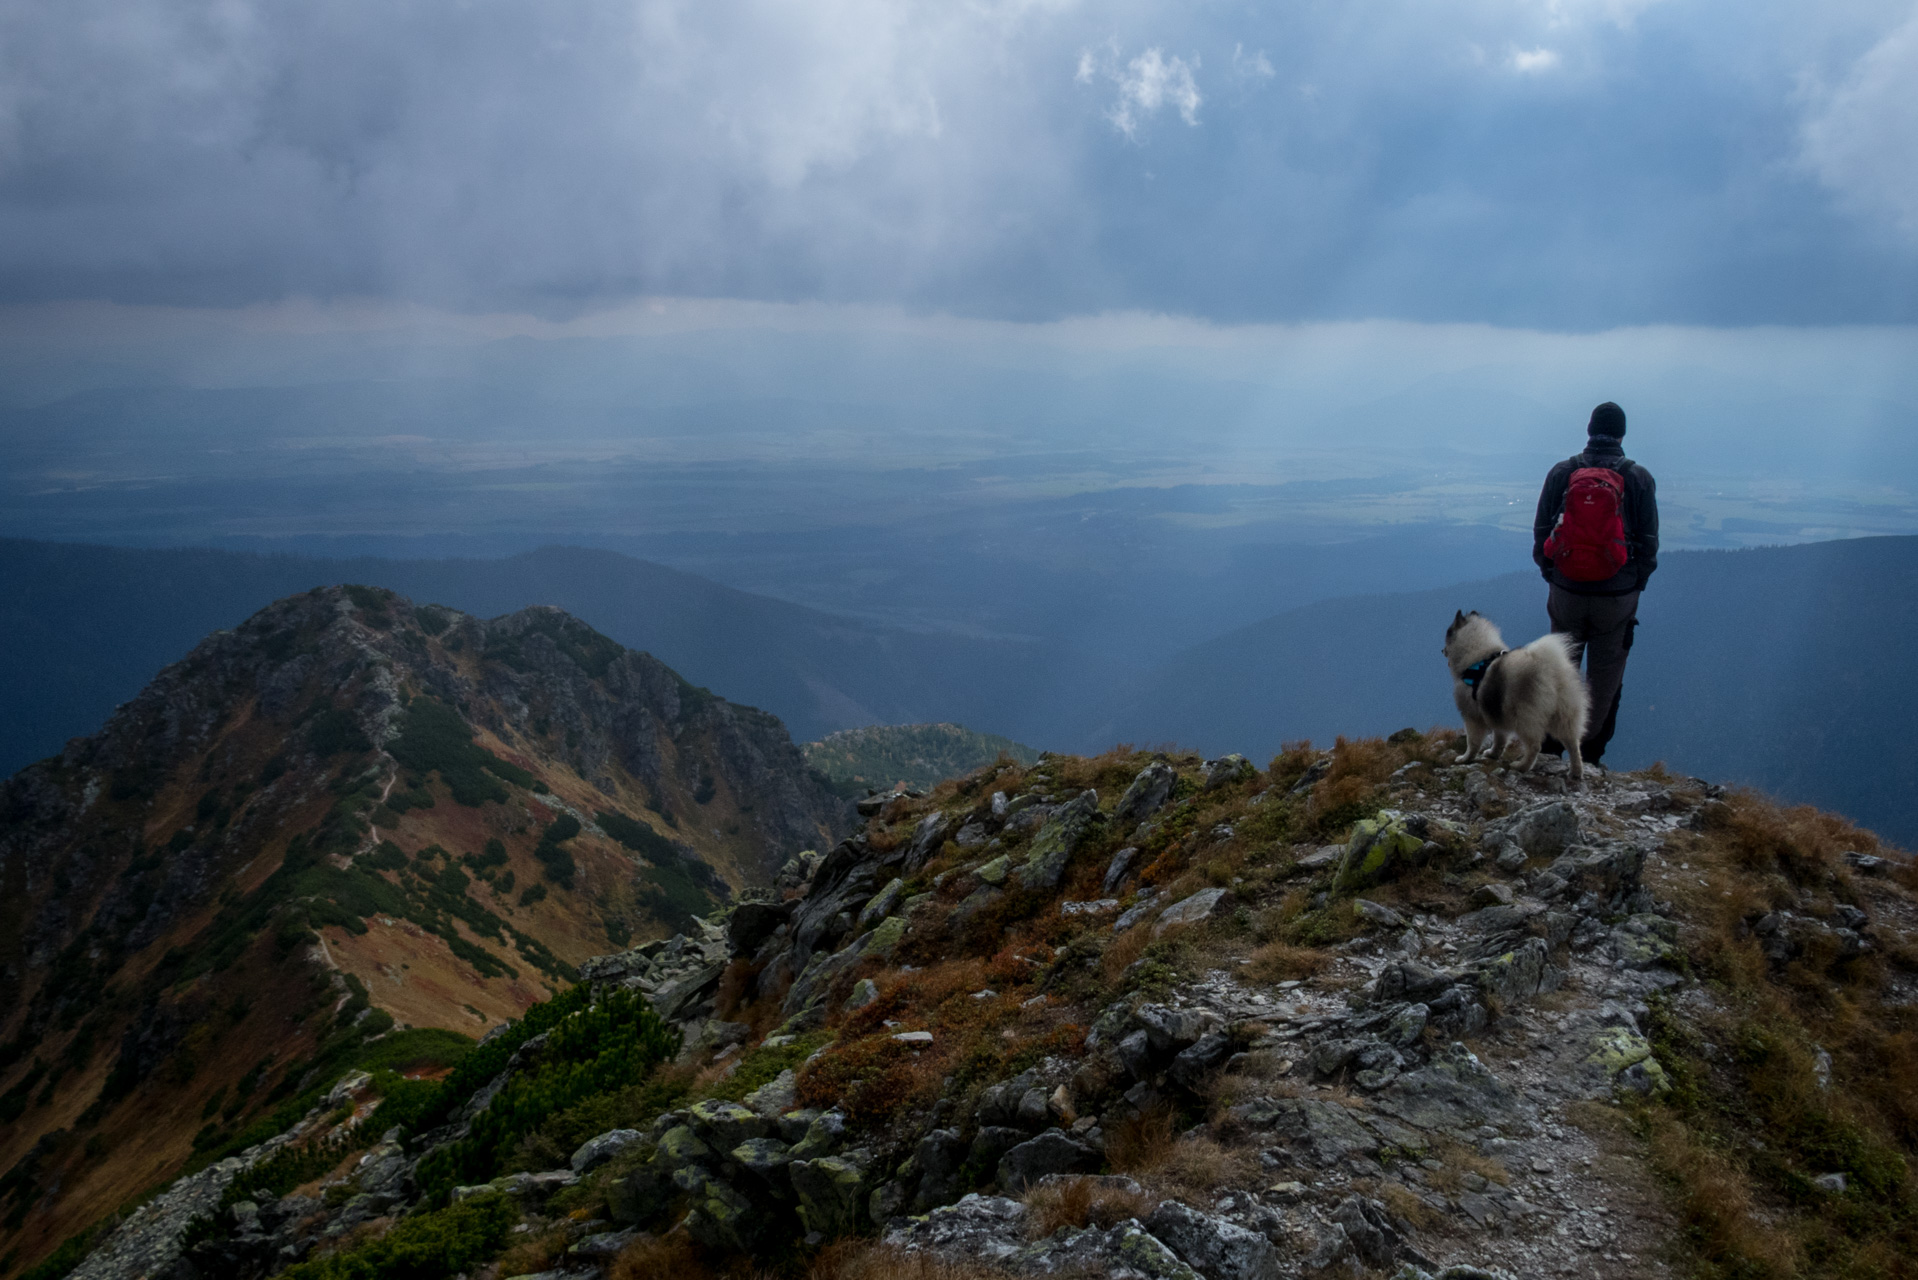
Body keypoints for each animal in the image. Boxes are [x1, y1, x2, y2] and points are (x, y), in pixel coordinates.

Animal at [1442, 610, 1588, 782]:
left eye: (1448, 632)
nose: (1442, 650)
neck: (1477, 657)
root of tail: (1548, 669)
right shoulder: (1496, 713)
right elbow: (1500, 739)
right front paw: (1493, 754)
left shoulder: (1472, 716)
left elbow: (1473, 742)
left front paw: (1465, 758)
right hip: (1564, 715)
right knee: (1573, 744)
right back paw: (1576, 772)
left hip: (1525, 717)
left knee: (1534, 746)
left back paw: (1521, 766)